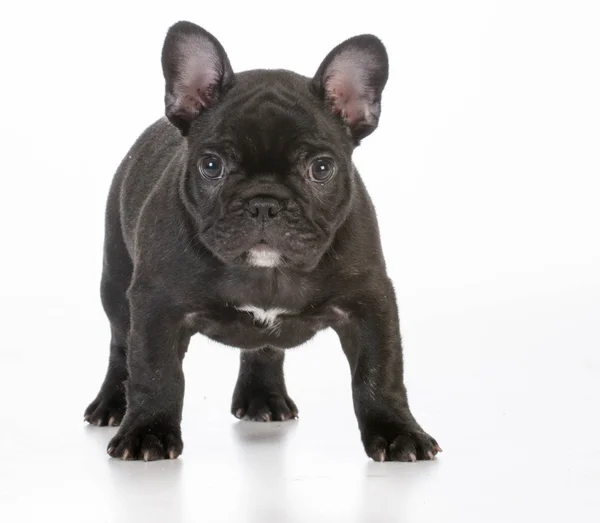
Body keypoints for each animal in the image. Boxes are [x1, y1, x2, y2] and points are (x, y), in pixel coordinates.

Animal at [84, 20, 440, 462]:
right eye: (211, 165)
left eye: (321, 169)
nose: (264, 203)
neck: (265, 272)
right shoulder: (156, 305)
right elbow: (154, 371)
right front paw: (147, 432)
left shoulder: (369, 302)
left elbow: (380, 373)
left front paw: (397, 432)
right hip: (117, 285)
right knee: (120, 345)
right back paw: (112, 405)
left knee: (264, 347)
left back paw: (263, 398)